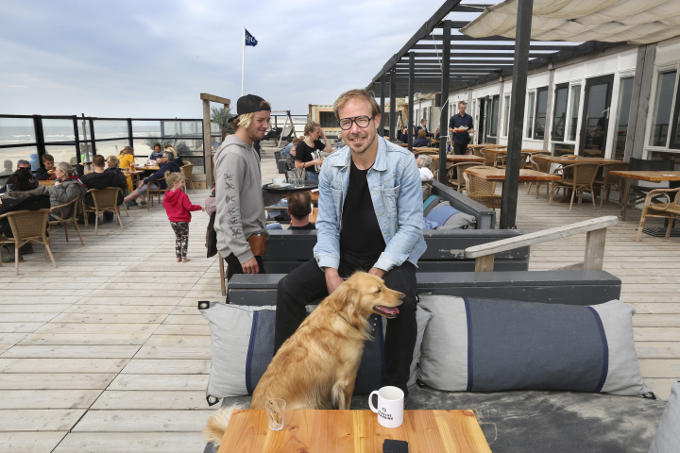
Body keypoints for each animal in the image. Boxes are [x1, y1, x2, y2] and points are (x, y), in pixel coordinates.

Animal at [205, 270, 402, 444]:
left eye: (385, 284)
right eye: (378, 290)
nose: (403, 296)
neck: (343, 316)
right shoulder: (346, 381)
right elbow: (345, 407)